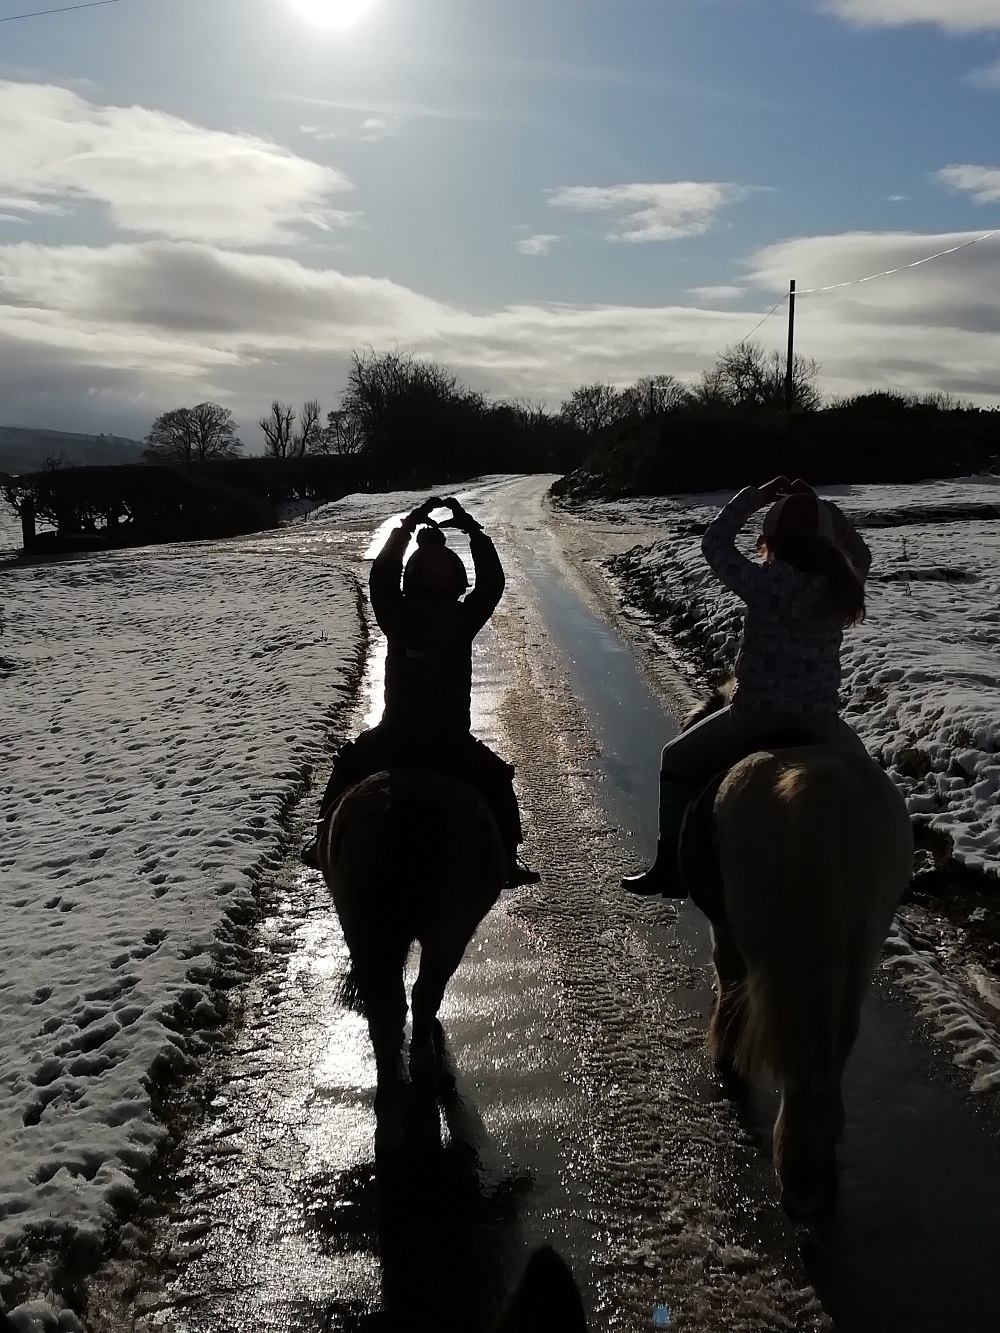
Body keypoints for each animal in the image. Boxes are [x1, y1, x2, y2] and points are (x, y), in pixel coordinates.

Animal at [688, 687, 917, 1221]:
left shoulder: (726, 930)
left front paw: (725, 1057)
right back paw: (816, 1162)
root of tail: (823, 787)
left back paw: (795, 1174)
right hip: (857, 948)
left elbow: (729, 983)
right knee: (831, 1044)